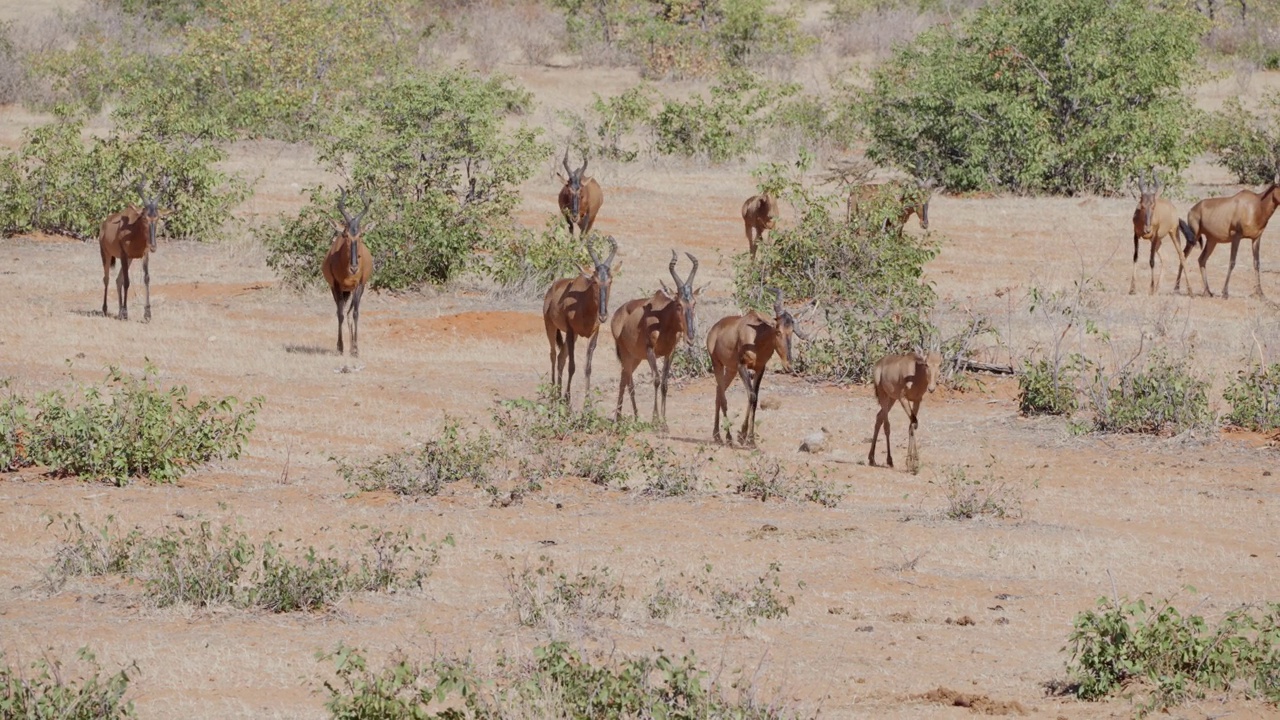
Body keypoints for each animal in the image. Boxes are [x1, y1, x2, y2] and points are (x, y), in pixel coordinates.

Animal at [99, 176, 168, 319]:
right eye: (144, 217)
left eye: (157, 217)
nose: (153, 246)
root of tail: (104, 224)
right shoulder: (123, 255)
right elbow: (127, 281)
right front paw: (126, 313)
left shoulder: (144, 255)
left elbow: (146, 279)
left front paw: (147, 314)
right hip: (106, 255)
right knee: (107, 279)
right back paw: (105, 309)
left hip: (130, 259)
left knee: (117, 279)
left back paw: (119, 312)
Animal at [325, 189, 373, 353]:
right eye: (345, 234)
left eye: (360, 234)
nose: (354, 267)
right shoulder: (336, 286)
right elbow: (339, 314)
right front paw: (340, 347)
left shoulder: (359, 285)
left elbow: (356, 313)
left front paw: (355, 349)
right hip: (338, 290)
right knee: (341, 311)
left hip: (352, 290)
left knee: (349, 312)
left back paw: (352, 346)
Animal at [542, 234, 616, 407]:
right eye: (594, 281)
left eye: (610, 280)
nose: (603, 316)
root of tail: (551, 289)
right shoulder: (570, 331)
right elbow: (572, 366)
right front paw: (568, 403)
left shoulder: (593, 334)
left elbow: (587, 368)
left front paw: (587, 405)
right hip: (550, 327)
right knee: (554, 355)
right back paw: (554, 398)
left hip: (573, 336)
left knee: (561, 357)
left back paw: (559, 397)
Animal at [609, 249, 701, 425]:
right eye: (678, 304)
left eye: (694, 303)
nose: (691, 337)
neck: (662, 319)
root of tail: (618, 313)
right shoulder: (650, 351)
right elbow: (657, 380)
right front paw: (655, 419)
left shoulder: (669, 353)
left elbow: (664, 383)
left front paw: (664, 423)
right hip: (625, 354)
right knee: (626, 382)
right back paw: (620, 418)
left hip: (635, 358)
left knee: (625, 379)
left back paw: (631, 417)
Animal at [706, 285, 803, 443]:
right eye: (778, 331)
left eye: (792, 331)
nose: (789, 365)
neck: (756, 339)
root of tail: (714, 328)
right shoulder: (742, 366)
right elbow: (751, 396)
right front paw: (742, 435)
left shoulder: (759, 369)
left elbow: (755, 399)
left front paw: (749, 438)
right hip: (717, 364)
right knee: (722, 395)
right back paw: (725, 436)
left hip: (731, 370)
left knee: (718, 391)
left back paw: (719, 435)